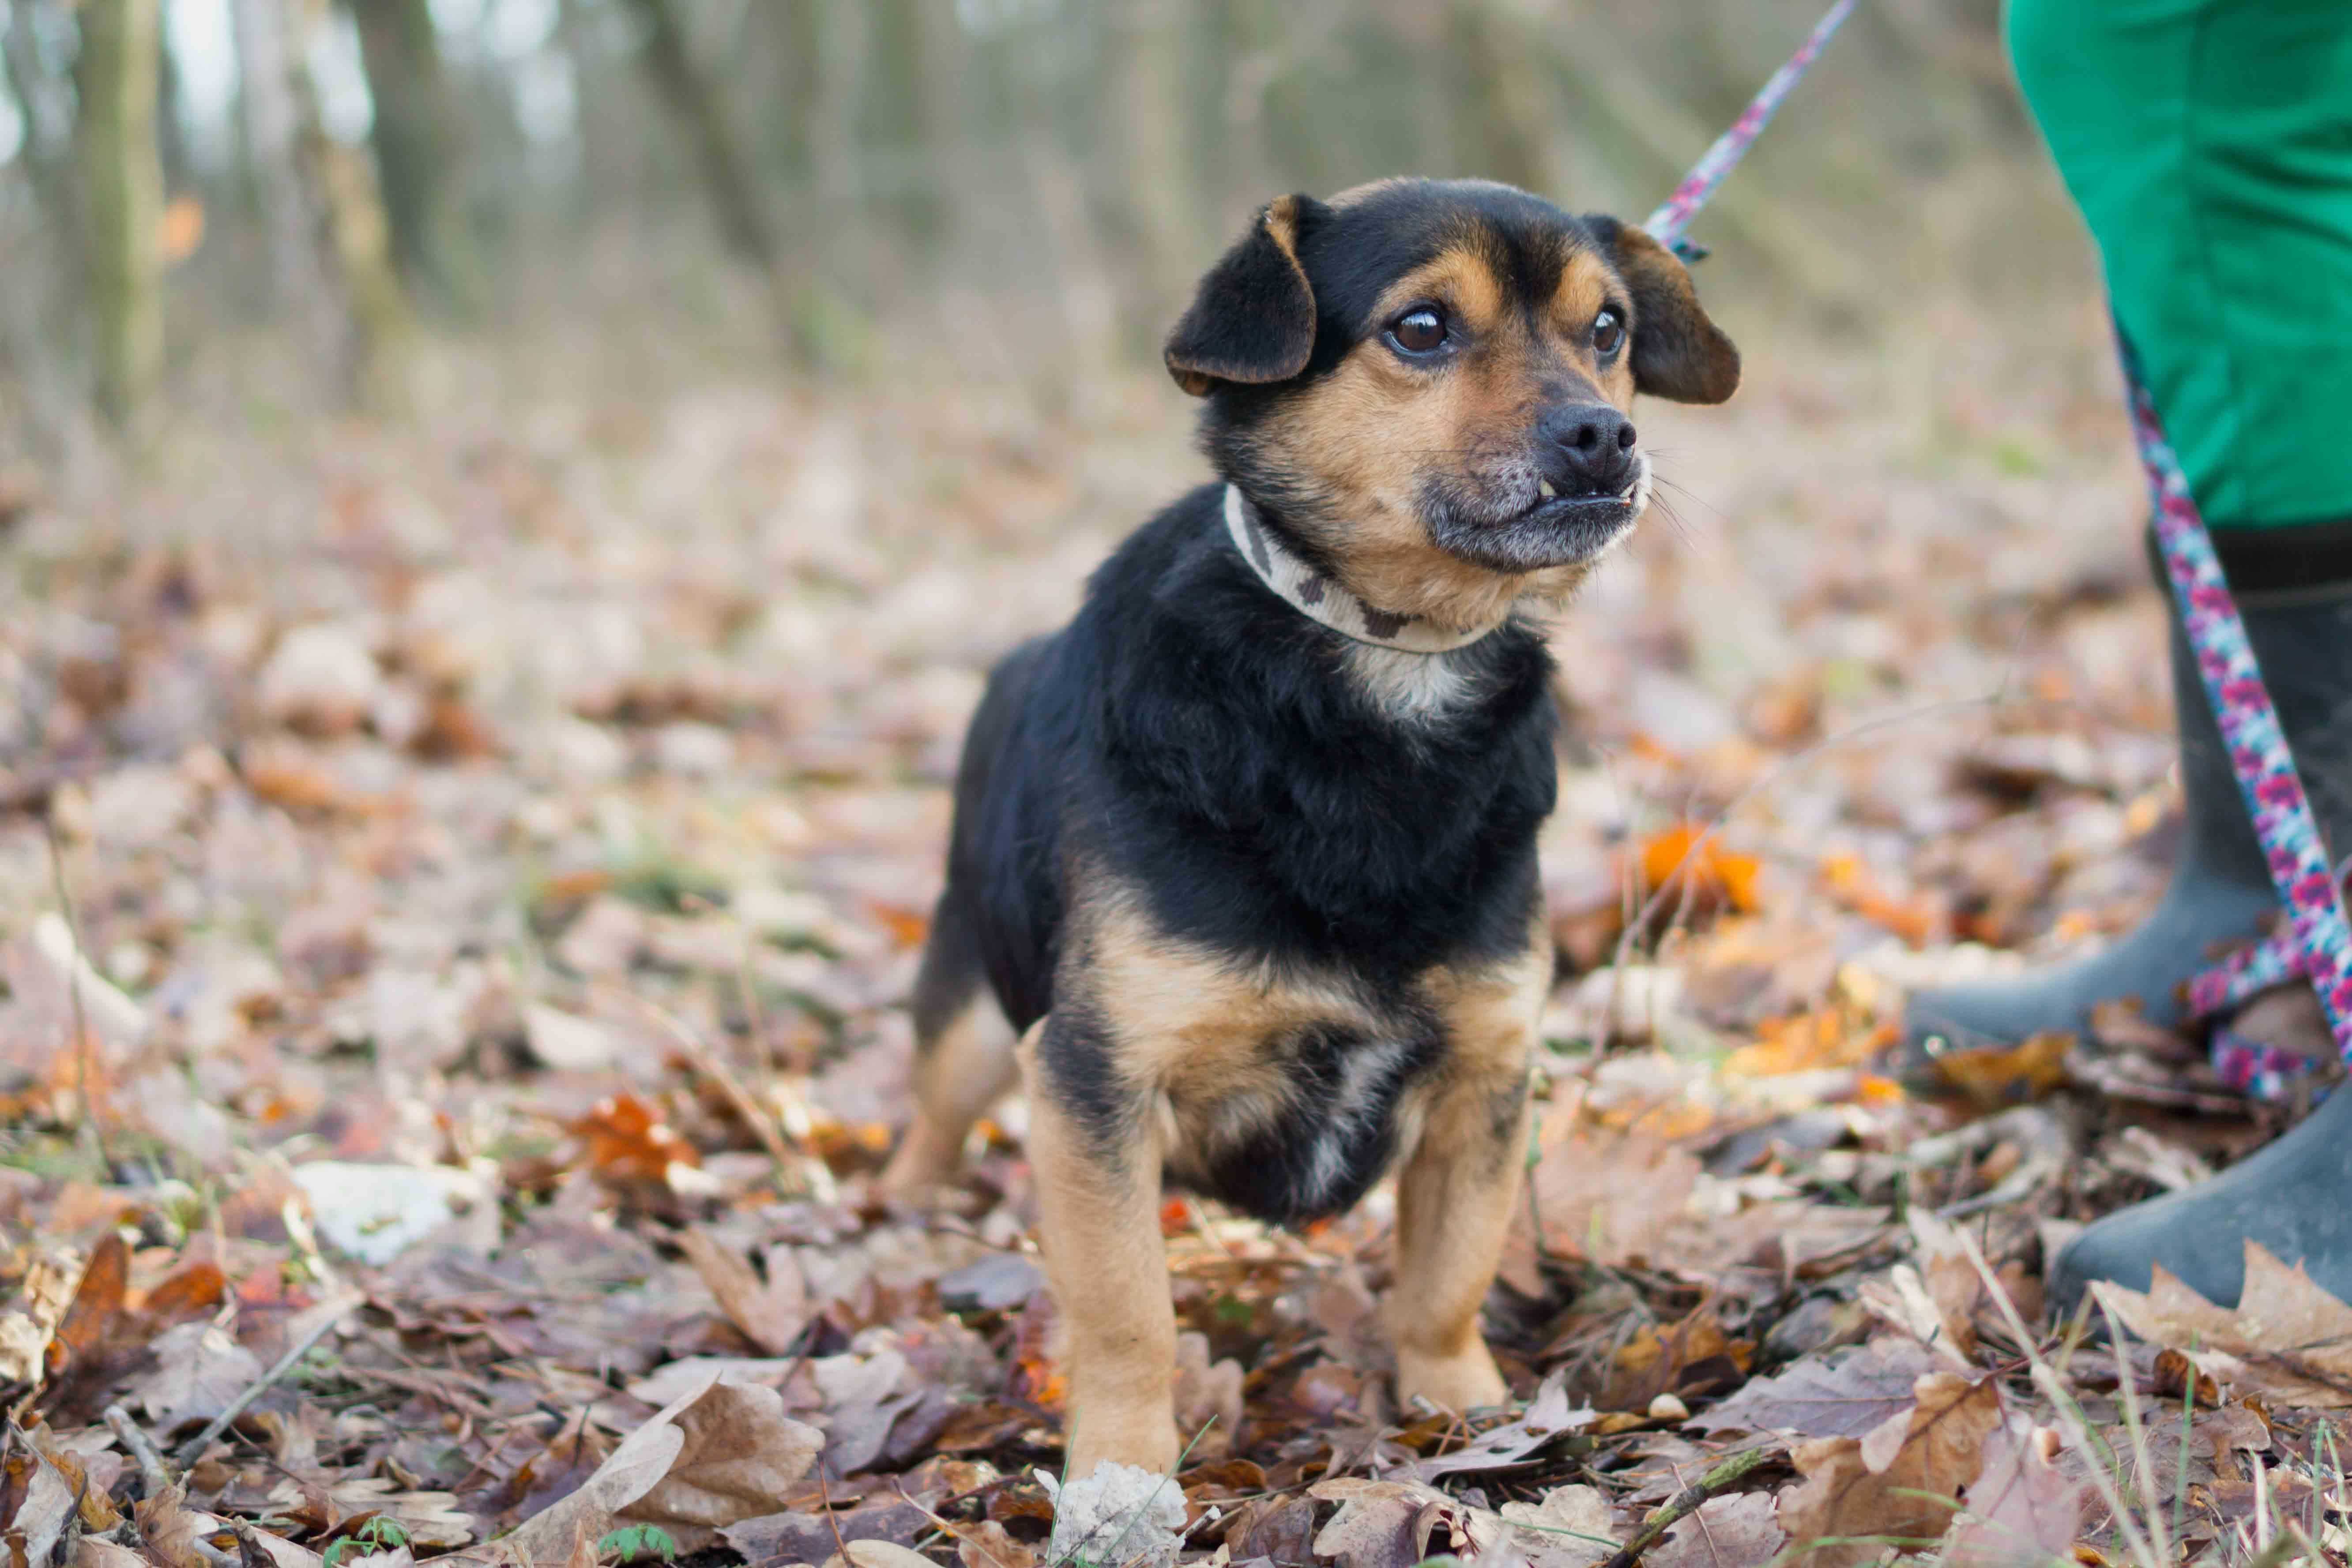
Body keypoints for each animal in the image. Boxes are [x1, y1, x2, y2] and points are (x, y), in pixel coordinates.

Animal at [875, 177, 1740, 1476]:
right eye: (1421, 329)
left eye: (1608, 333)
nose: (1604, 436)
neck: (1390, 667)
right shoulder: (1093, 1078)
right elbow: (1125, 1307)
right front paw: (1122, 1469)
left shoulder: (1484, 1077)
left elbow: (1446, 1275)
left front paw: (1463, 1410)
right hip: (976, 1015)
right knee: (931, 1123)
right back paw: (910, 1225)